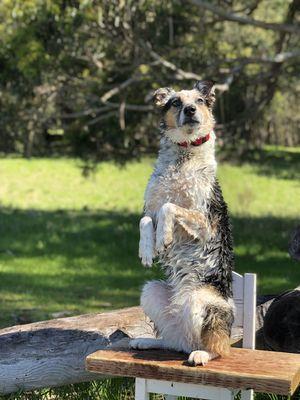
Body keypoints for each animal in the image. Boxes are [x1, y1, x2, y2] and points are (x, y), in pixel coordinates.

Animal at [130, 80, 236, 366]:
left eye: (199, 100)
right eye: (175, 102)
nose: (190, 110)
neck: (184, 154)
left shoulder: (203, 220)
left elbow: (171, 207)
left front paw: (163, 238)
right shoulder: (150, 207)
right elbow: (146, 220)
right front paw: (147, 249)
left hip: (200, 300)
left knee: (217, 347)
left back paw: (201, 354)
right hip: (151, 291)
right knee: (173, 341)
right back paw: (147, 341)